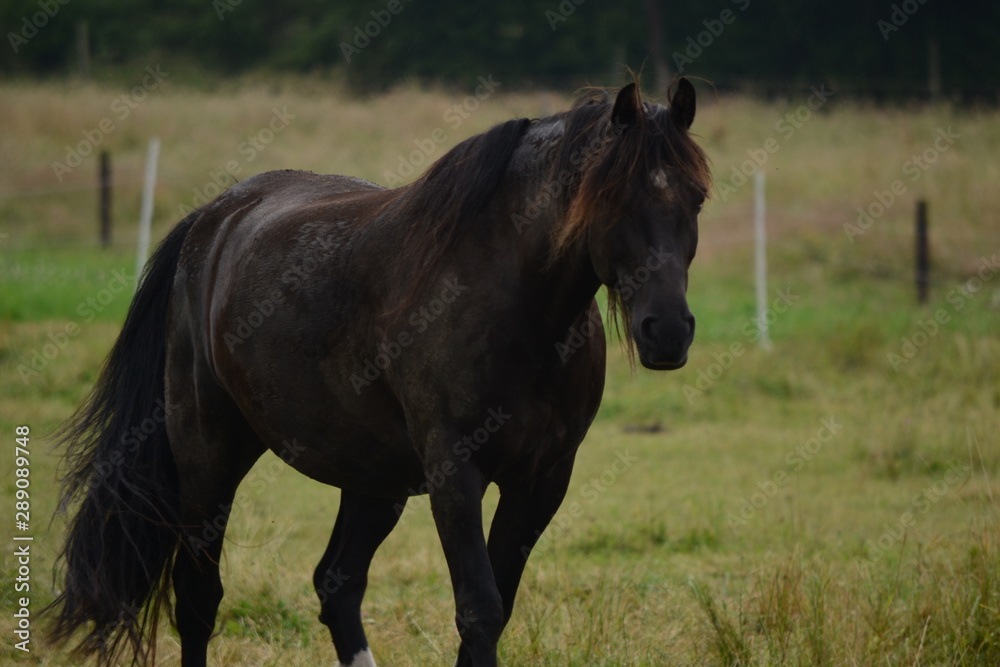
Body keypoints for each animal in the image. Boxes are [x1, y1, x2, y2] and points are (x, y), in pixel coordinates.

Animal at [48, 77, 711, 667]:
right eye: (611, 198)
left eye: (697, 198)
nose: (668, 331)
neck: (518, 310)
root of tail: (214, 219)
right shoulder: (455, 474)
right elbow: (480, 609)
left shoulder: (542, 480)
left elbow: (495, 607)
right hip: (208, 455)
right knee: (198, 599)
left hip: (372, 478)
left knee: (336, 583)